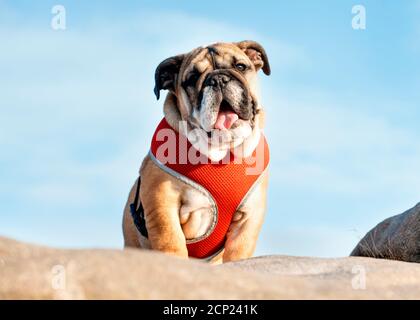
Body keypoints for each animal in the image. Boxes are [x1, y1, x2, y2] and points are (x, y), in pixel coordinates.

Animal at [121, 41, 272, 264]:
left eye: (240, 66)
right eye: (192, 78)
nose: (218, 79)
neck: (221, 150)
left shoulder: (249, 219)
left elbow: (238, 253)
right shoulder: (162, 204)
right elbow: (171, 241)